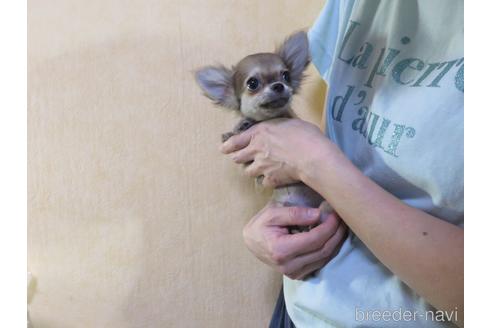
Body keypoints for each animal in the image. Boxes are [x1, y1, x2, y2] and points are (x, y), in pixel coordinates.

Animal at [195, 31, 330, 231]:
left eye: (286, 76)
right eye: (252, 83)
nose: (278, 85)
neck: (267, 119)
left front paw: (244, 124)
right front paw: (236, 129)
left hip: (324, 208)